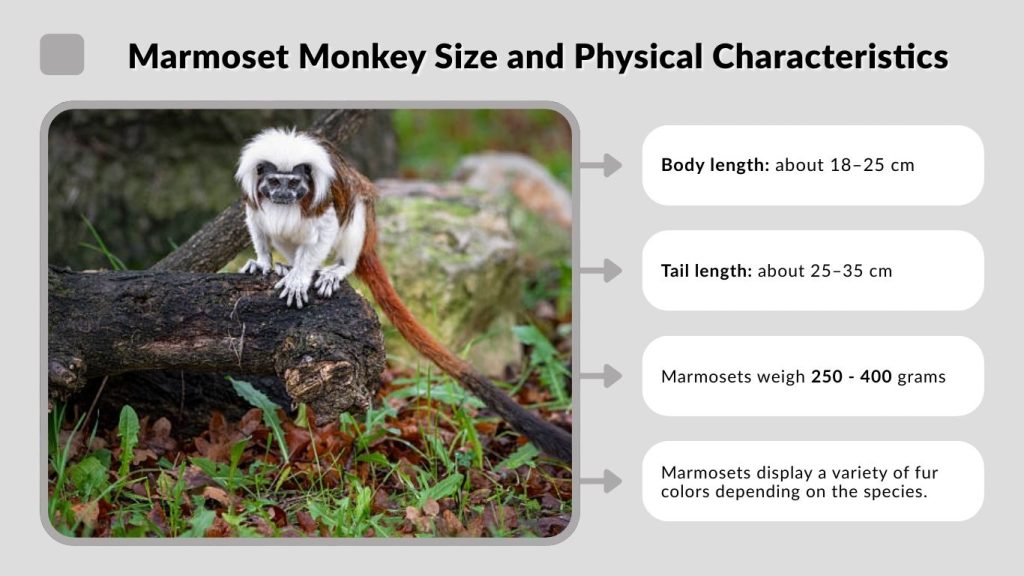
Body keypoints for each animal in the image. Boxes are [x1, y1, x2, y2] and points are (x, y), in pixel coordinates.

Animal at [235, 128, 572, 462]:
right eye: (274, 182)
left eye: (294, 183)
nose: (284, 195)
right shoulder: (256, 200)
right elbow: (257, 222)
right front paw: (265, 263)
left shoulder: (321, 199)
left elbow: (330, 223)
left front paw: (301, 277)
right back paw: (286, 265)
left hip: (362, 230)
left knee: (354, 209)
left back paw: (336, 268)